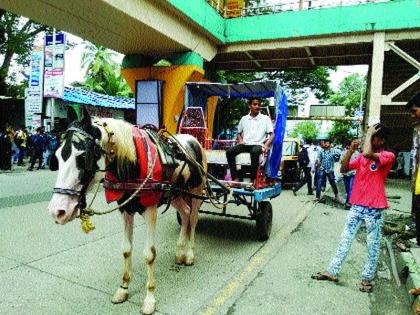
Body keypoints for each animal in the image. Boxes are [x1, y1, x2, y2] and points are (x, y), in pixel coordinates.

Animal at [47, 107, 207, 314]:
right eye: (58, 157)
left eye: (82, 157)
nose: (57, 211)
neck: (132, 163)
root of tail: (193, 139)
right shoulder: (125, 209)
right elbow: (126, 249)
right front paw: (123, 288)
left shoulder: (151, 210)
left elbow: (149, 254)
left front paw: (150, 298)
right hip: (176, 194)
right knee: (186, 212)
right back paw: (180, 251)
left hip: (196, 191)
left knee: (193, 218)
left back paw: (189, 254)